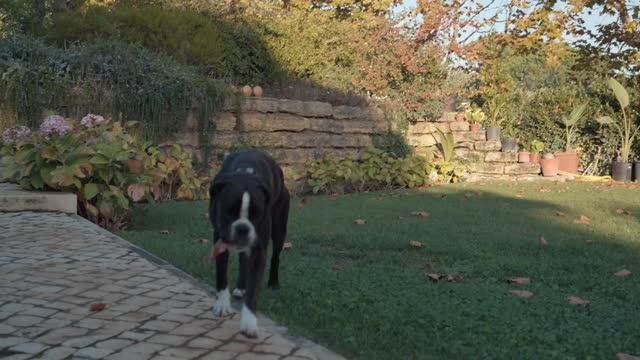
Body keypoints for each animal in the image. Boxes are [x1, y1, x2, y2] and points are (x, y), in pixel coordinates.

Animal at [210, 149, 290, 338]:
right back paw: (240, 287)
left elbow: (254, 288)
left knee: (275, 257)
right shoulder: (219, 241)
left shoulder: (258, 250)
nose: (242, 228)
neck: (245, 174)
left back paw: (273, 282)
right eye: (229, 211)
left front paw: (249, 322)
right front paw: (222, 305)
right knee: (243, 261)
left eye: (257, 213)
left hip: (279, 230)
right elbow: (221, 275)